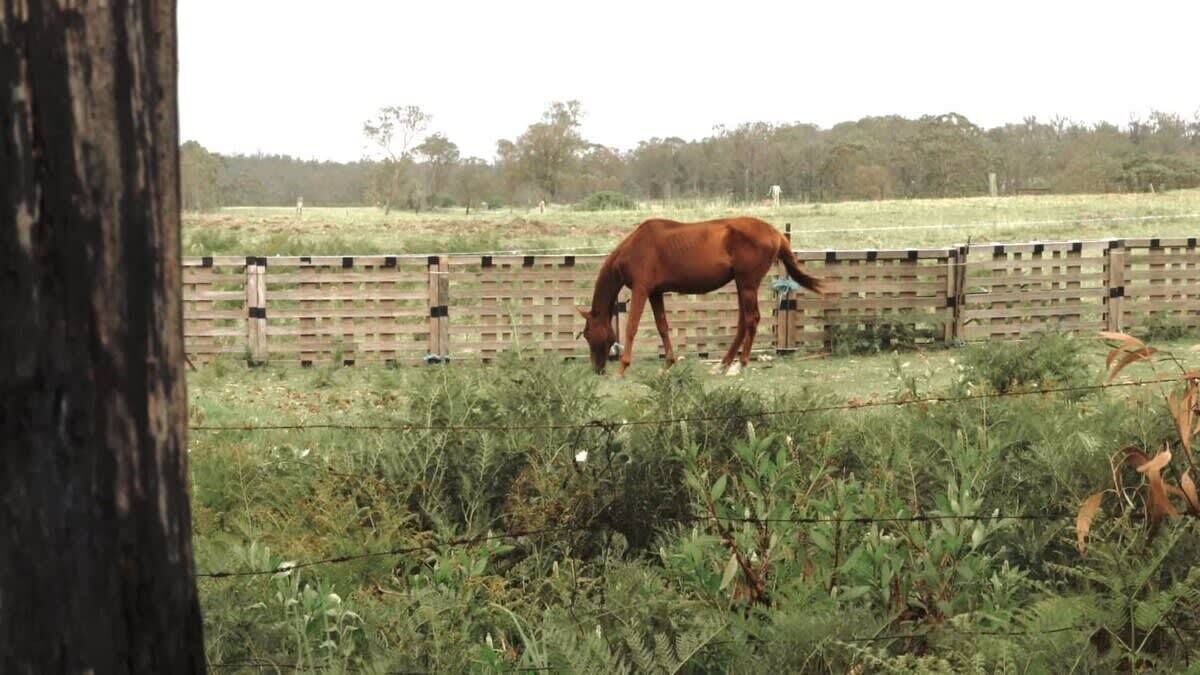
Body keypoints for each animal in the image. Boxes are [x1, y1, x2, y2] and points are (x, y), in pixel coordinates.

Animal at [577, 216, 826, 376]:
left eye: (588, 335)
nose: (597, 370)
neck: (635, 246)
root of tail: (776, 234)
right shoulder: (655, 293)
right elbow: (662, 327)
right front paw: (668, 363)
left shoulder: (641, 290)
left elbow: (631, 328)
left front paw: (623, 367)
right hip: (741, 284)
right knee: (743, 322)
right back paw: (723, 364)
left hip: (747, 284)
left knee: (751, 319)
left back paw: (740, 364)